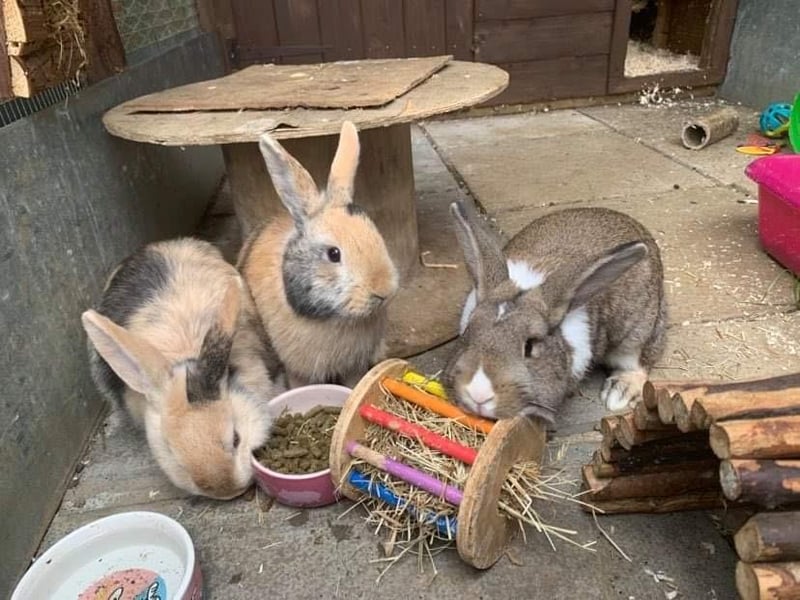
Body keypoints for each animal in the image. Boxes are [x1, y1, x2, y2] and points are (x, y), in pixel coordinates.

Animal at [238, 121, 399, 389]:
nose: (383, 290)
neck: (334, 317)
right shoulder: (298, 369)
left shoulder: (354, 365)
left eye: (375, 231)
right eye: (333, 254)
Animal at [443, 200, 667, 423]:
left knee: (637, 360)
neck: (527, 283)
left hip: (639, 329)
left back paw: (619, 393)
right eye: (467, 333)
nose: (478, 395)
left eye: (530, 347)